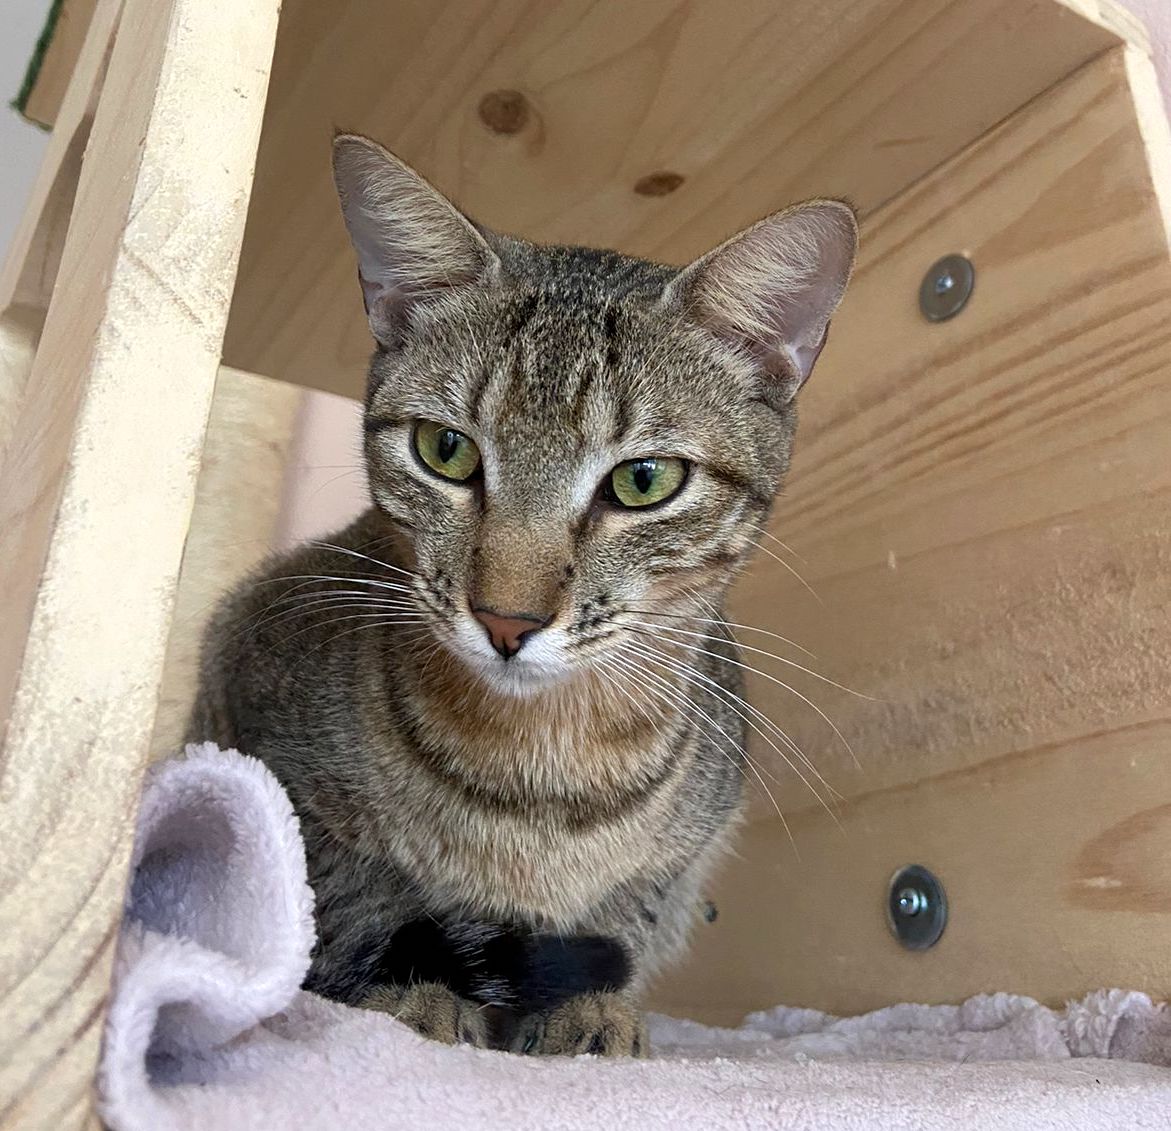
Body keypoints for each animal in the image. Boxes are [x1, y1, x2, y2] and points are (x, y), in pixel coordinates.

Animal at [189, 135, 852, 1063]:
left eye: (644, 480)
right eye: (445, 449)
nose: (506, 619)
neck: (540, 774)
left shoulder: (680, 856)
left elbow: (621, 921)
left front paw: (587, 1009)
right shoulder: (255, 727)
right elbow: (350, 902)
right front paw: (408, 994)